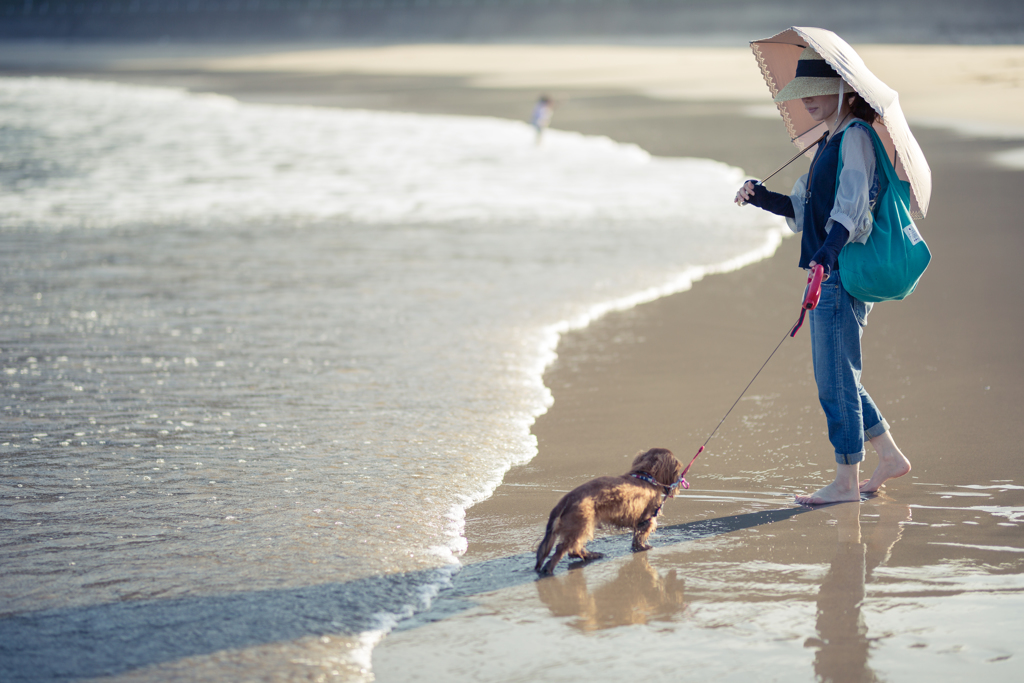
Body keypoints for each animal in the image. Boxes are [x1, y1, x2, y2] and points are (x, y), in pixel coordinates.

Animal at [532, 448, 684, 577]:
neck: (645, 477)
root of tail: (566, 500)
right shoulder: (647, 519)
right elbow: (640, 536)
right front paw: (643, 547)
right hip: (582, 525)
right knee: (564, 549)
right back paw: (549, 569)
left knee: (574, 549)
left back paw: (591, 555)